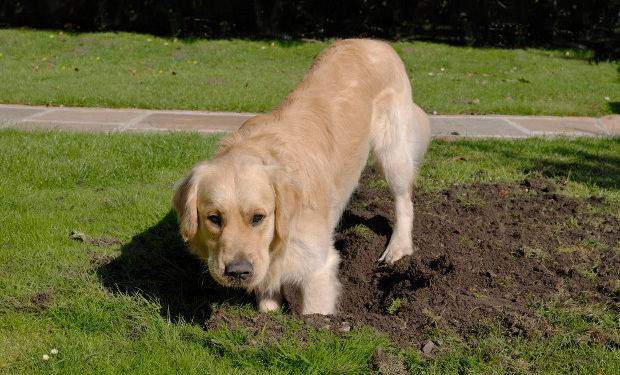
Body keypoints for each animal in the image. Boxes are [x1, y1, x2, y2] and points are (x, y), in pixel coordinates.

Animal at [172, 39, 428, 314]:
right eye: (214, 218)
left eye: (258, 218)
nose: (238, 272)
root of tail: (372, 41)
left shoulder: (319, 268)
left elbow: (314, 312)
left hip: (392, 153)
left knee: (404, 201)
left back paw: (398, 248)